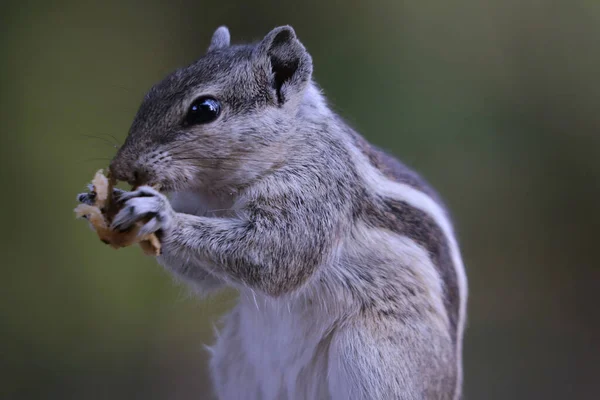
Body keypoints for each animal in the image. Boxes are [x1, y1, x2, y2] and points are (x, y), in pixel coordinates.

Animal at [77, 25, 468, 400]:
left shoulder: (319, 191)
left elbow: (278, 255)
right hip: (237, 363)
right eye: (154, 91)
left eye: (204, 109)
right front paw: (102, 199)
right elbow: (205, 276)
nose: (120, 168)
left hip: (376, 356)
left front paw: (159, 212)